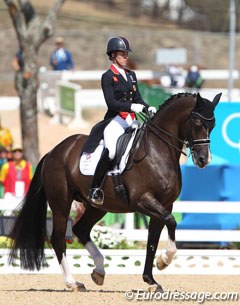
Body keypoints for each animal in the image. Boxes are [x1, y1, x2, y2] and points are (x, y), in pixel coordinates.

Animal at [7, 91, 221, 290]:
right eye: (197, 122)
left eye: (213, 125)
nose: (204, 160)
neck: (157, 150)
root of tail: (53, 152)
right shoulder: (143, 201)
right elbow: (171, 221)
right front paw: (164, 261)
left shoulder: (164, 205)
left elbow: (152, 242)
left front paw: (151, 280)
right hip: (61, 203)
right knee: (58, 238)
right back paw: (72, 282)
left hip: (98, 206)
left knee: (80, 229)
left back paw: (99, 271)